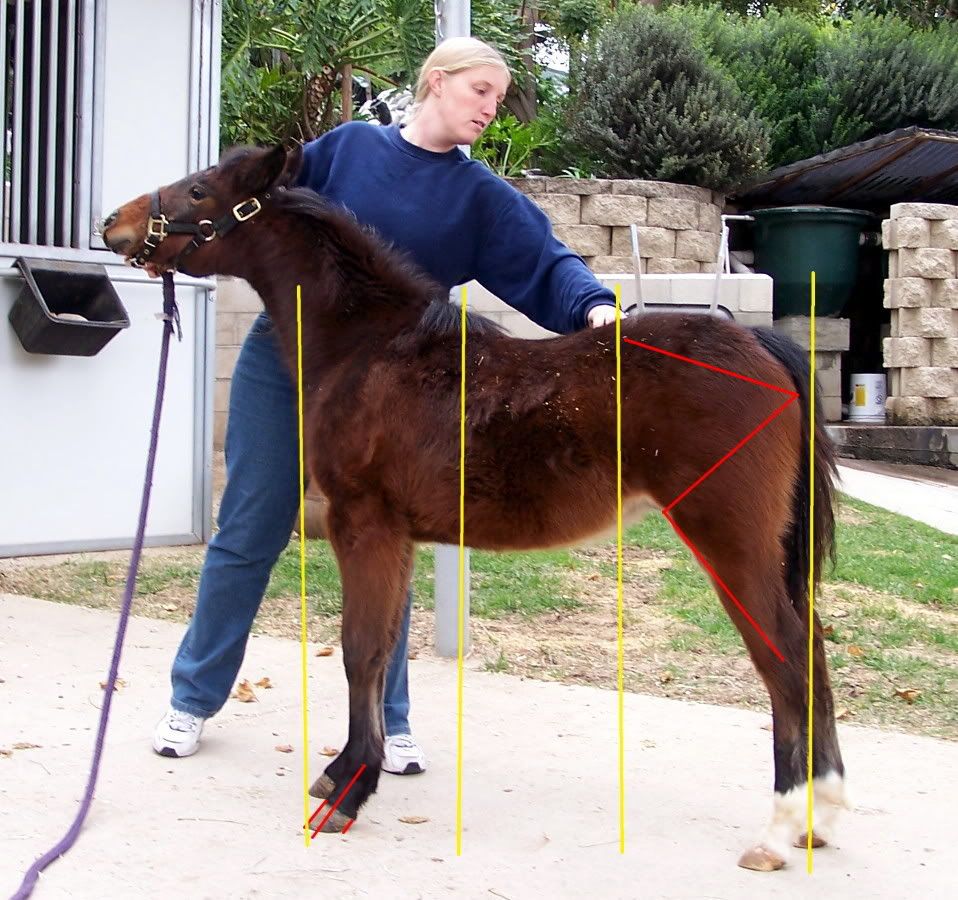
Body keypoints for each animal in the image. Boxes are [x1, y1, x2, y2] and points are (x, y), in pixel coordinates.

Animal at [102, 144, 847, 870]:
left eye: (200, 190)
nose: (116, 223)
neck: (369, 347)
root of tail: (763, 347)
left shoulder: (362, 524)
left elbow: (359, 651)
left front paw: (347, 791)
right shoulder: (396, 536)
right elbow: (381, 651)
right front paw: (353, 772)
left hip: (727, 539)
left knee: (785, 657)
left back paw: (781, 829)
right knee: (810, 648)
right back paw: (822, 815)